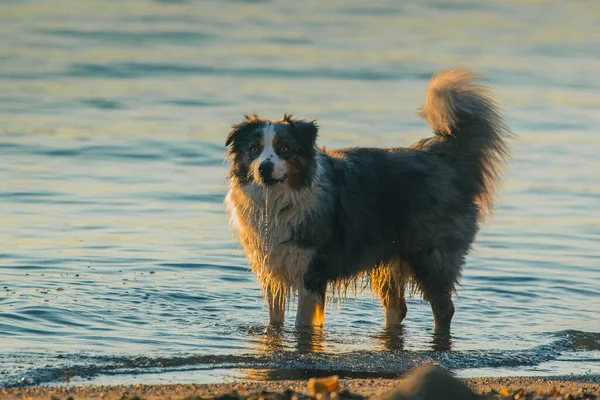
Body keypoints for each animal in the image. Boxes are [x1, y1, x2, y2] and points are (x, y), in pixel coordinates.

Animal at [224, 69, 510, 332]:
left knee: (443, 308)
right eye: (254, 149)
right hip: (389, 256)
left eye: (285, 149)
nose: (265, 169)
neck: (278, 202)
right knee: (397, 307)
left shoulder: (312, 271)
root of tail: (445, 156)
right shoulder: (272, 267)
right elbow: (275, 319)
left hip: (431, 256)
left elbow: (302, 324)